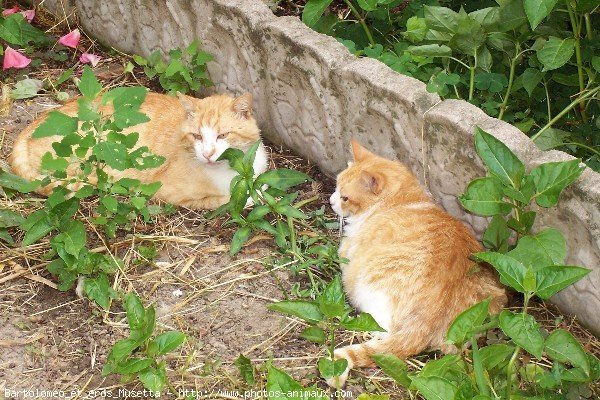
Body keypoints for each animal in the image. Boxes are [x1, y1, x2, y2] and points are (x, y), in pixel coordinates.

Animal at [8, 91, 268, 209]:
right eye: (197, 136)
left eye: (223, 135)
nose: (208, 153)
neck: (232, 170)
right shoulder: (169, 193)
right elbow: (229, 200)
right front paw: (253, 196)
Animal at [328, 141, 506, 388]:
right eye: (336, 187)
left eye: (345, 197)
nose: (330, 200)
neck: (403, 198)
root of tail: (428, 317)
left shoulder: (346, 249)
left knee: (383, 331)